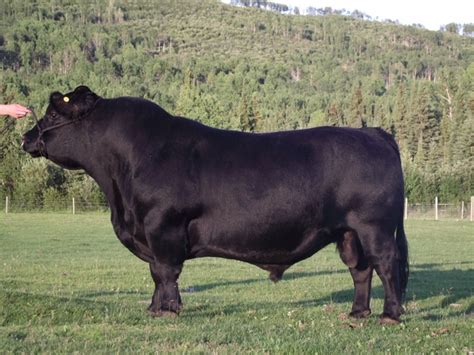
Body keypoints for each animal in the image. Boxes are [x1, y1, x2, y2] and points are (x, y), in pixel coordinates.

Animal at [23, 87, 408, 326]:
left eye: (51, 113)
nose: (26, 137)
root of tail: (372, 133)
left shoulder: (162, 227)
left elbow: (165, 271)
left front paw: (168, 310)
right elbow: (155, 274)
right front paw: (154, 308)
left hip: (374, 227)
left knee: (386, 266)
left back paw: (389, 315)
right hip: (348, 233)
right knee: (360, 270)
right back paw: (357, 313)